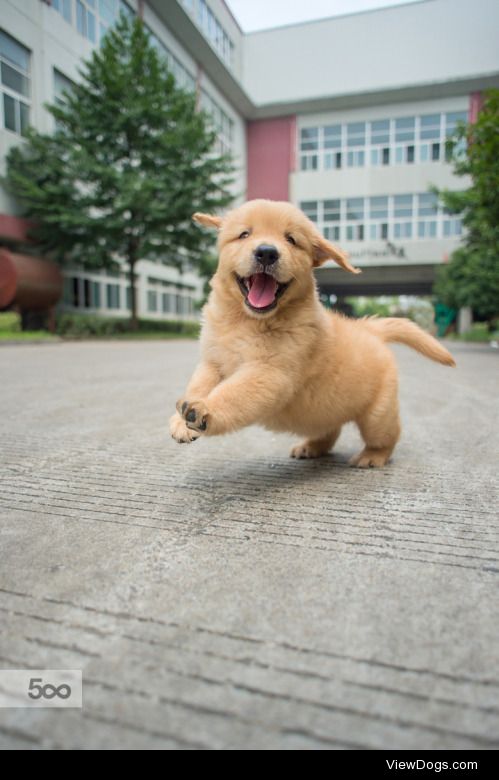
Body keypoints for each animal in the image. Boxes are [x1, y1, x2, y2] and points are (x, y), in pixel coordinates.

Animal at [170, 201, 456, 470]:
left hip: (378, 413)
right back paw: (311, 447)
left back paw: (372, 456)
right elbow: (198, 384)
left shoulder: (270, 373)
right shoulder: (212, 361)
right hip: (322, 412)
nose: (267, 252)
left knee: (388, 435)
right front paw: (181, 419)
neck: (246, 321)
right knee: (331, 430)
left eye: (291, 239)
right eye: (244, 234)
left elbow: (233, 394)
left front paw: (205, 409)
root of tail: (368, 329)